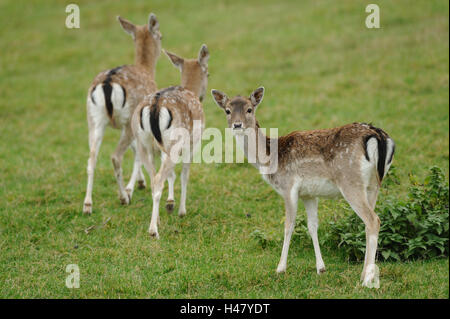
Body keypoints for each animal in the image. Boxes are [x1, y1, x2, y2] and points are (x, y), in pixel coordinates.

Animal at [83, 14, 163, 215]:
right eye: (161, 36)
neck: (146, 70)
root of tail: (107, 82)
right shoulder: (138, 125)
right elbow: (138, 155)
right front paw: (131, 189)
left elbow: (135, 150)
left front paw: (140, 183)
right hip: (127, 120)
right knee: (115, 156)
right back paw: (123, 198)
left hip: (93, 120)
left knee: (91, 158)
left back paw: (87, 205)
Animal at [131, 43, 210, 239]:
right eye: (208, 73)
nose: (203, 95)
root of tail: (155, 105)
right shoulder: (192, 144)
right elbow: (184, 174)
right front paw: (181, 210)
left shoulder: (160, 149)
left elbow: (172, 174)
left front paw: (170, 204)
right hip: (175, 141)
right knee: (159, 178)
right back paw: (153, 231)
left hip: (143, 143)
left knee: (154, 178)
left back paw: (156, 220)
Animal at [211, 87, 394, 288]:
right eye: (227, 110)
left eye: (249, 109)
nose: (237, 125)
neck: (270, 158)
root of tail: (378, 136)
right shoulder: (309, 194)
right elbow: (312, 226)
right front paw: (321, 268)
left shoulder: (288, 186)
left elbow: (288, 225)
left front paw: (280, 268)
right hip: (373, 185)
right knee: (369, 222)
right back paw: (364, 274)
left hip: (350, 182)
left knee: (373, 220)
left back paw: (366, 280)